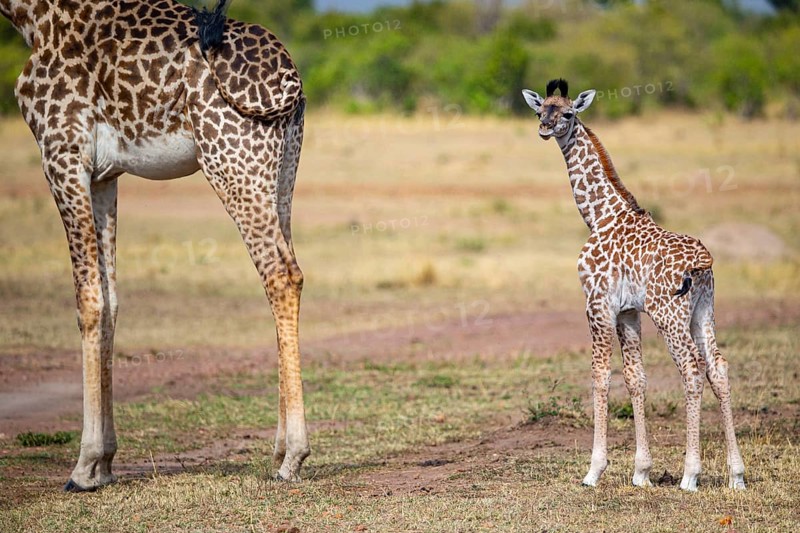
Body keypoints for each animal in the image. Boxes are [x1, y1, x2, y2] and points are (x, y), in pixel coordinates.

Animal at [1, 0, 311, 490]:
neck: (34, 18)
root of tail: (292, 81)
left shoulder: (62, 153)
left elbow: (87, 302)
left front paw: (84, 467)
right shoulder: (104, 174)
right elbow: (110, 301)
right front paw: (106, 463)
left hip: (233, 163)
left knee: (279, 275)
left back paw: (293, 457)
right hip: (282, 171)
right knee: (290, 270)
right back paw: (279, 449)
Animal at [521, 79, 746, 491]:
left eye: (568, 113)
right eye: (540, 109)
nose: (545, 128)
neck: (599, 216)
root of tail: (702, 264)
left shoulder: (596, 303)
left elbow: (599, 376)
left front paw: (594, 471)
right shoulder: (627, 311)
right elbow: (635, 377)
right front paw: (641, 471)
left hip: (669, 313)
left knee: (691, 370)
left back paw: (690, 475)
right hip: (703, 310)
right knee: (718, 368)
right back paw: (736, 475)